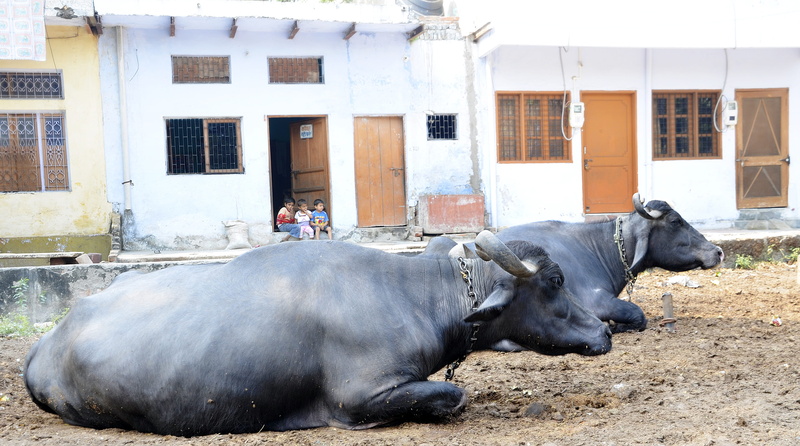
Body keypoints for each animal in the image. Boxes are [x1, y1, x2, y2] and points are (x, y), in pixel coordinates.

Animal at [24, 231, 611, 436]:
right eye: (556, 281)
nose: (603, 332)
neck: (411, 295)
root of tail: (46, 344)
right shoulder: (363, 393)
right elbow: (452, 395)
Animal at [494, 194, 724, 335]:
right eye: (676, 221)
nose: (718, 252)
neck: (597, 249)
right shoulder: (595, 300)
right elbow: (638, 314)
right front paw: (614, 326)